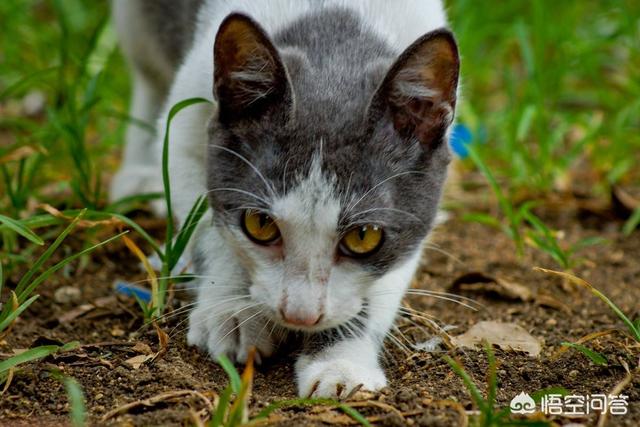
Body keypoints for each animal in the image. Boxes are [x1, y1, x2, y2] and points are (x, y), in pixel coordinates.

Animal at [111, 1, 460, 400]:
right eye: (260, 224)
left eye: (364, 236)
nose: (299, 316)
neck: (336, 28)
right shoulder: (186, 125)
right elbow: (207, 226)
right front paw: (231, 310)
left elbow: (383, 281)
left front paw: (341, 362)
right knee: (147, 75)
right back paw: (139, 178)